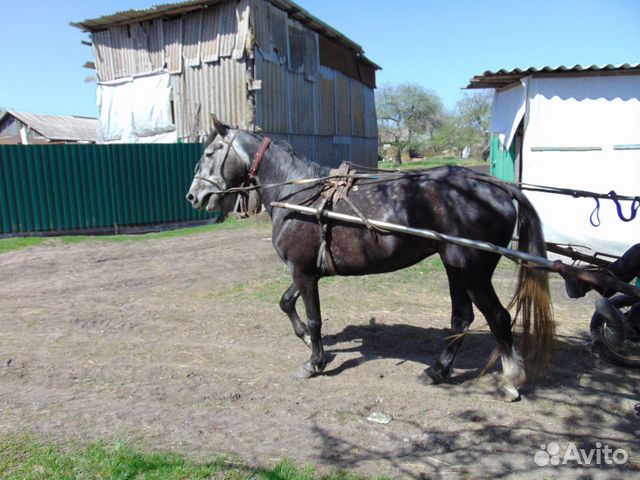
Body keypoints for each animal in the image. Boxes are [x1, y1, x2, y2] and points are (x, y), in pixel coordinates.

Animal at [186, 118, 556, 404]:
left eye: (208, 153)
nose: (193, 196)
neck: (298, 196)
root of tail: (496, 185)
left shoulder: (303, 272)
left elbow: (314, 318)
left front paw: (314, 362)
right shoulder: (306, 271)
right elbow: (286, 303)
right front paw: (306, 340)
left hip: (472, 271)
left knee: (498, 318)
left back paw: (510, 382)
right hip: (455, 268)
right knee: (462, 318)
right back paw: (437, 371)